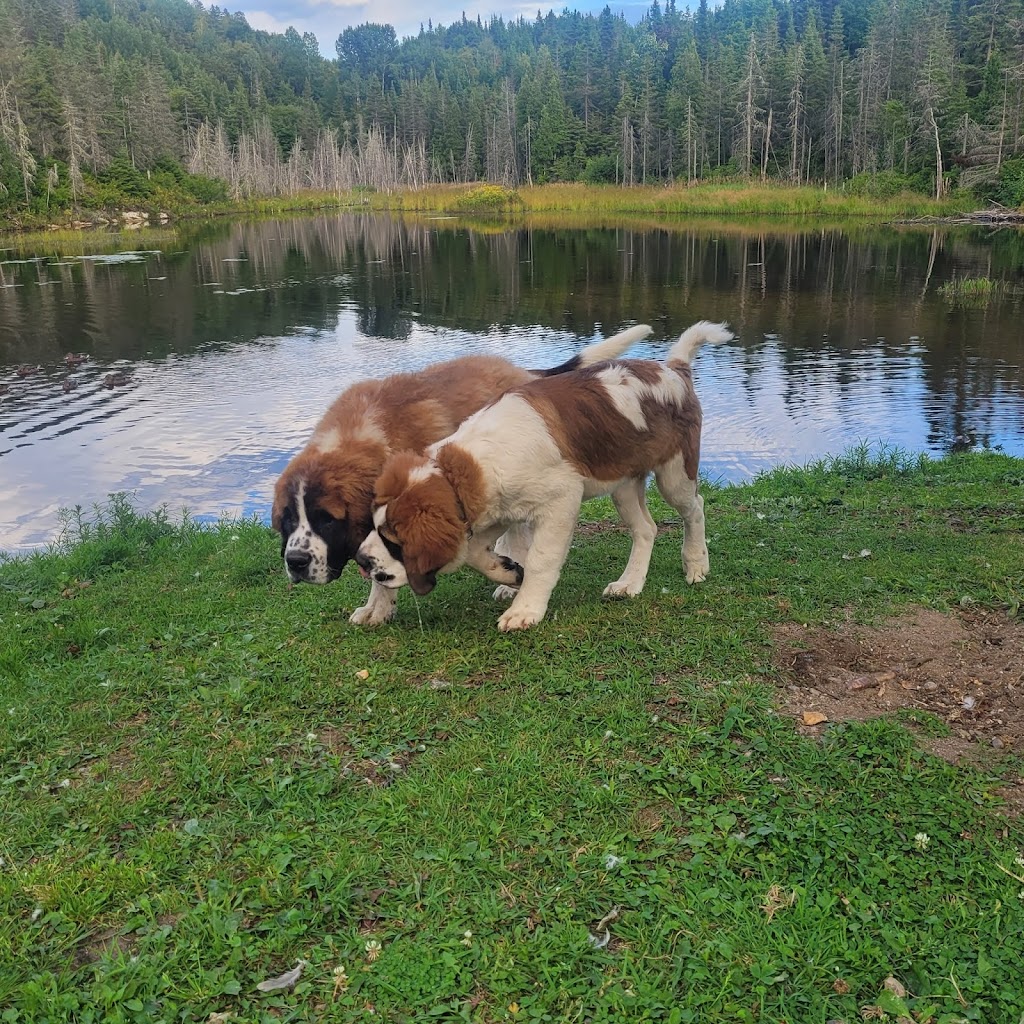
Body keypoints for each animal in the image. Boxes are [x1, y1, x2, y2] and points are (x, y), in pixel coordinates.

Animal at [272, 323, 651, 622]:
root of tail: (522, 372)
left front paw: (378, 607)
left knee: (519, 531)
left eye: (327, 520)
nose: (295, 561)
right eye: (289, 520)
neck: (359, 437)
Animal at [356, 319, 733, 626]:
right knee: (646, 529)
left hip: (674, 475)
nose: (361, 560)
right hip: (622, 484)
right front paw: (508, 572)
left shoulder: (561, 501)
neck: (467, 466)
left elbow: (540, 558)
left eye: (395, 541)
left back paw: (695, 563)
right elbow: (474, 552)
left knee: (694, 507)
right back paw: (630, 583)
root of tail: (673, 370)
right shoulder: (495, 508)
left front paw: (525, 608)